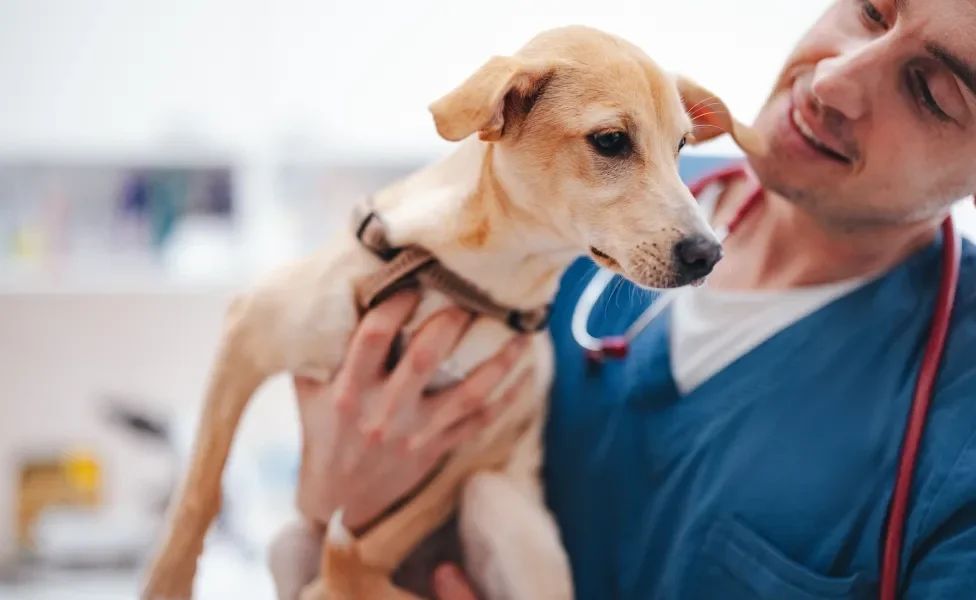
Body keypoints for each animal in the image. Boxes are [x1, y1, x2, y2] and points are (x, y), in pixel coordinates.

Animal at [141, 24, 764, 600]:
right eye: (610, 140)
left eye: (681, 147)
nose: (709, 253)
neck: (473, 276)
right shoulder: (249, 328)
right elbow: (199, 491)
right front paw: (168, 582)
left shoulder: (485, 438)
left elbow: (379, 542)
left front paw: (340, 581)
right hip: (289, 539)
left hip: (500, 505)